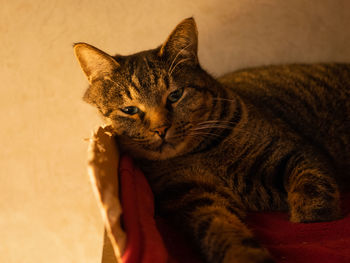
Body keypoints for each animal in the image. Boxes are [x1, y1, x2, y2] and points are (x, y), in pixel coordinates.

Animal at [74, 17, 350, 262]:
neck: (203, 155)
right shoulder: (195, 196)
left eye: (175, 95)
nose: (161, 129)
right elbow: (221, 231)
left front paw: (310, 219)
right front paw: (245, 256)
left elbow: (313, 191)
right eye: (129, 110)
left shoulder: (294, 151)